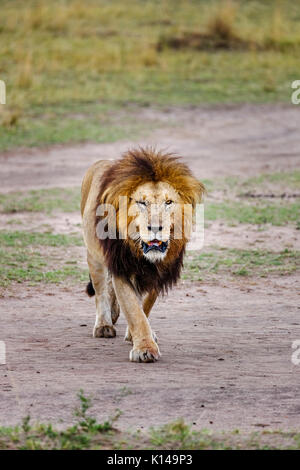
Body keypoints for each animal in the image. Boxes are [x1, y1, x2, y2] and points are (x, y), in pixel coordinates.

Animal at [81, 148, 205, 364]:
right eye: (141, 202)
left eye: (168, 202)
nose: (155, 228)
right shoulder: (121, 267)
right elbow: (134, 309)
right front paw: (144, 349)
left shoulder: (161, 270)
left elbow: (145, 305)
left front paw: (135, 336)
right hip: (94, 257)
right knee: (101, 290)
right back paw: (104, 325)